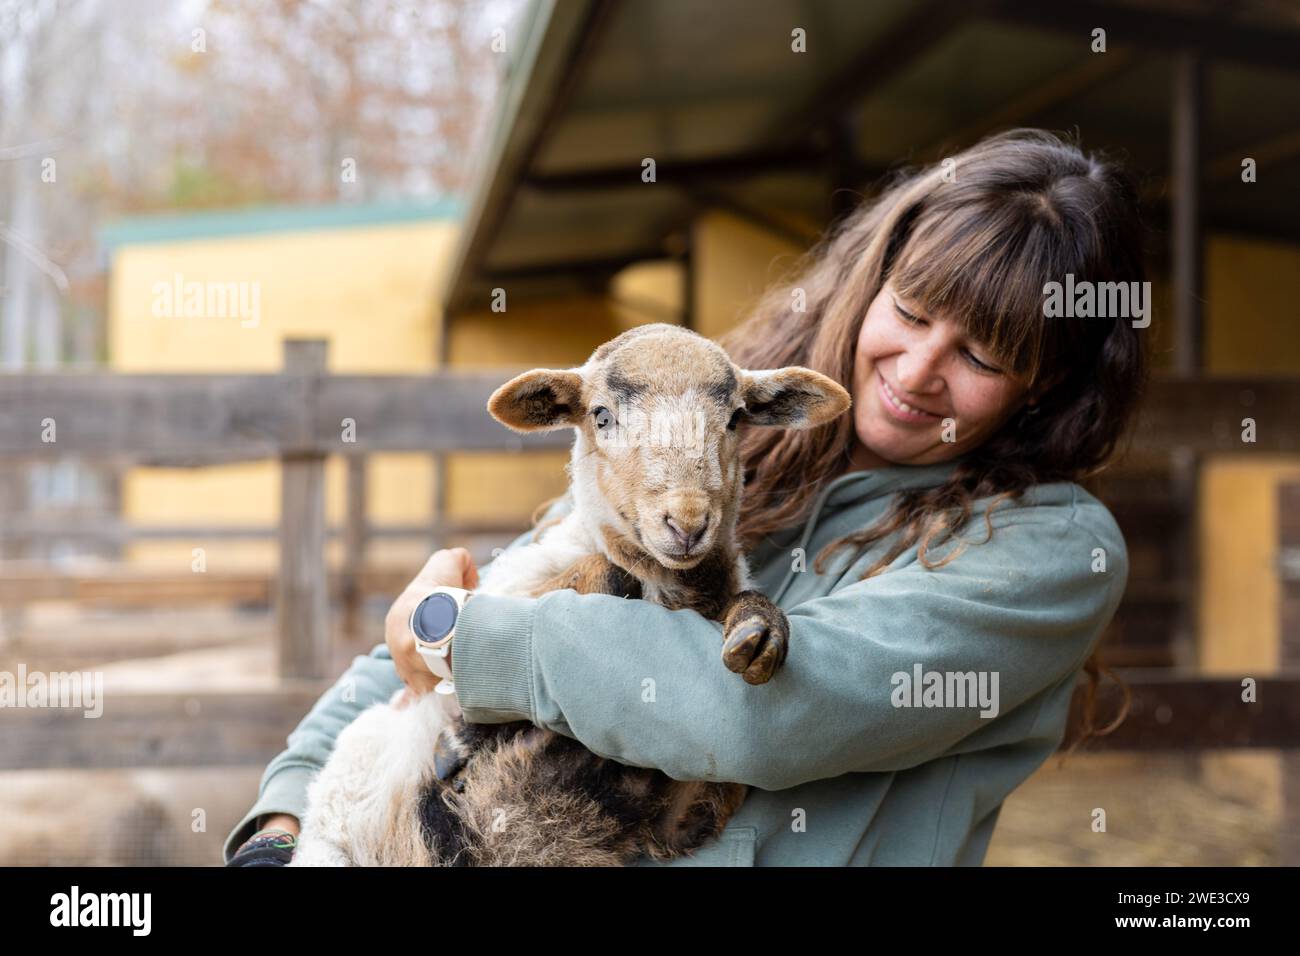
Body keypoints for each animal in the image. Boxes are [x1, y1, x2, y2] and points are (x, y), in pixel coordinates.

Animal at [289, 323, 847, 868]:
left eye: (734, 419)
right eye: (601, 416)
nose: (688, 523)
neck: (670, 588)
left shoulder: (680, 814)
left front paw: (759, 631)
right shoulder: (511, 584)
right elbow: (608, 574)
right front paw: (460, 738)